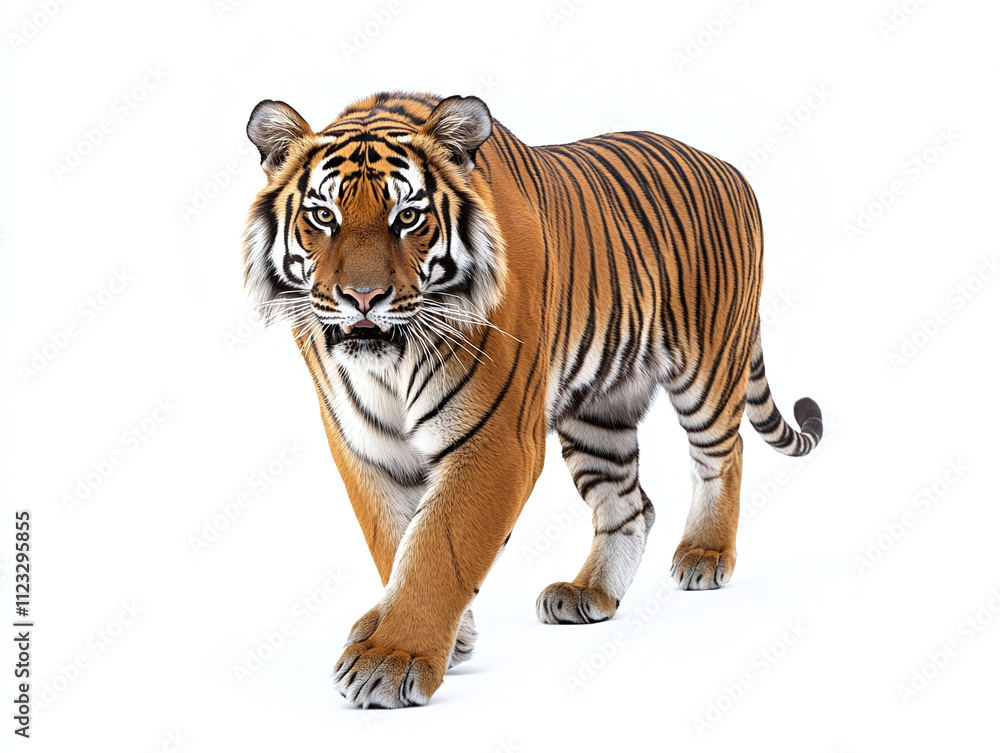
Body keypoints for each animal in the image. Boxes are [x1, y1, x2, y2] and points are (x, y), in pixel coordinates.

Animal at [241, 91, 823, 709]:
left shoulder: (496, 441)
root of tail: (729, 167)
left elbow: (438, 547)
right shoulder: (363, 443)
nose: (363, 297)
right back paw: (589, 593)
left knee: (723, 456)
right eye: (324, 217)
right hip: (598, 412)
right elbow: (395, 540)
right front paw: (446, 637)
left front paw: (391, 659)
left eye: (408, 217)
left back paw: (705, 556)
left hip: (706, 369)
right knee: (630, 503)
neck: (390, 363)